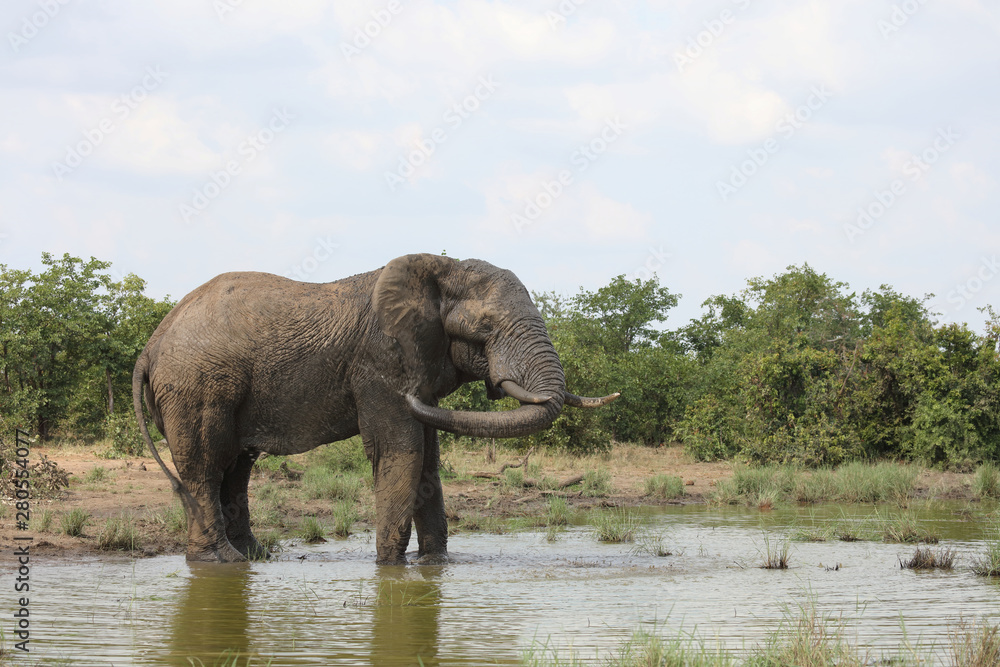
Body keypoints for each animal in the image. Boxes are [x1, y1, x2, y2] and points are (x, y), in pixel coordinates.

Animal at [132, 253, 617, 564]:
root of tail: (149, 347)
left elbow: (428, 459)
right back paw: (222, 562)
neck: (440, 269)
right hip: (196, 385)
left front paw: (435, 565)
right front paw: (390, 569)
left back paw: (253, 556)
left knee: (236, 467)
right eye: (486, 326)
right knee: (207, 464)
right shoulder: (381, 363)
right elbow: (401, 451)